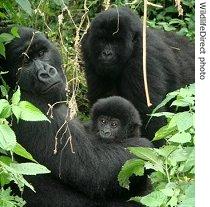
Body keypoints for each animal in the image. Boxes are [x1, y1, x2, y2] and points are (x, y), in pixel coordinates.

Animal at [0, 26, 153, 206]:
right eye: (25, 63)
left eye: (41, 53)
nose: (45, 72)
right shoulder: (26, 108)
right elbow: (94, 170)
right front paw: (144, 146)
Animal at [81, 6, 195, 142]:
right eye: (102, 40)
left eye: (116, 42)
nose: (107, 53)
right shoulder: (88, 50)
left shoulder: (142, 58)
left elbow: (147, 112)